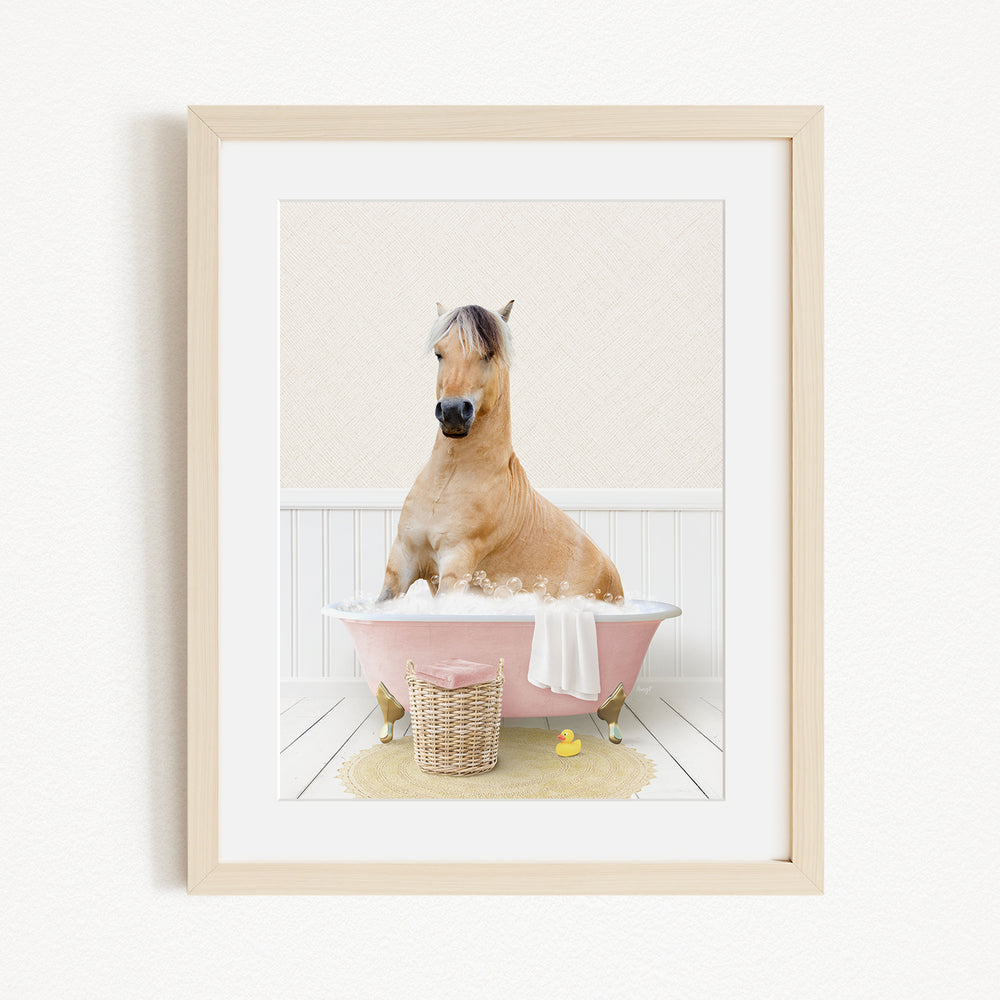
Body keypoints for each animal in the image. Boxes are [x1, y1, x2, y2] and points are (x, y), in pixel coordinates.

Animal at [377, 301, 624, 602]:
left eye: (488, 354)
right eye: (439, 353)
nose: (452, 412)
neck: (447, 482)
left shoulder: (456, 564)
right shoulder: (402, 560)